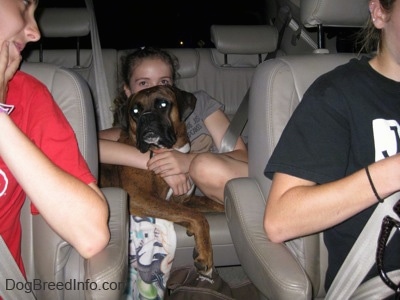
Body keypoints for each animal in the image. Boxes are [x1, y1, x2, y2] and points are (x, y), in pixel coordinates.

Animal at [99, 84, 223, 276]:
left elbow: (207, 204)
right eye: (135, 111)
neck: (170, 152)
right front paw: (205, 255)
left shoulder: (182, 201)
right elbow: (197, 216)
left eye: (163, 104)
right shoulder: (139, 198)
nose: (146, 117)